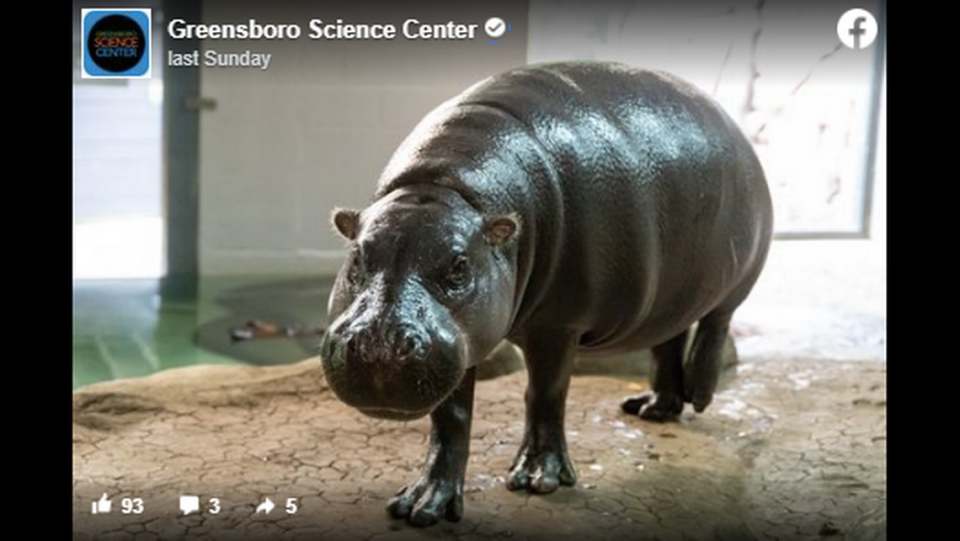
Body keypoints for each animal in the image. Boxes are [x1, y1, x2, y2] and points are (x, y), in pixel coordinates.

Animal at [318, 61, 776, 524]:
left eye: (460, 266)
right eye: (357, 257)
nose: (379, 347)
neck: (444, 188)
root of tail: (736, 129)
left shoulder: (557, 324)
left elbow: (545, 394)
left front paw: (539, 479)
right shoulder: (466, 337)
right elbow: (451, 417)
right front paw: (423, 505)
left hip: (743, 270)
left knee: (716, 322)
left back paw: (699, 394)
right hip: (669, 295)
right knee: (668, 339)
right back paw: (652, 408)